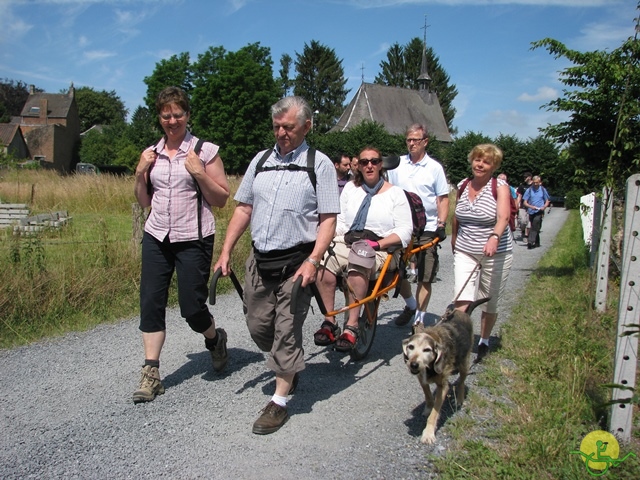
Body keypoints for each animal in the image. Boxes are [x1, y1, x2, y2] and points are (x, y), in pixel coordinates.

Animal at [400, 298, 490, 444]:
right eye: (411, 347)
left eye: (427, 350)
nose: (413, 364)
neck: (429, 367)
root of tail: (463, 313)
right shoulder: (422, 379)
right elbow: (428, 396)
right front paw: (428, 407)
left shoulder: (443, 386)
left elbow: (434, 413)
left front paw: (428, 433)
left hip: (464, 363)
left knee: (461, 382)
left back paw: (459, 399)